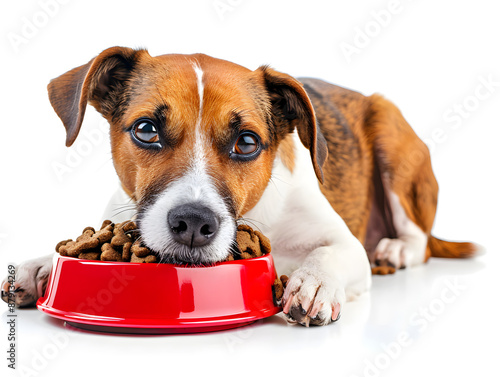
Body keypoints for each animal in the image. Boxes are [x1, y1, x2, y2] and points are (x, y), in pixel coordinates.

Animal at [0, 46, 478, 324]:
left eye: (246, 142)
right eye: (146, 130)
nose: (194, 223)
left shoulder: (345, 244)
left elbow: (329, 253)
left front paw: (314, 282)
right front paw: (40, 266)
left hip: (392, 139)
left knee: (419, 241)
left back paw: (396, 250)